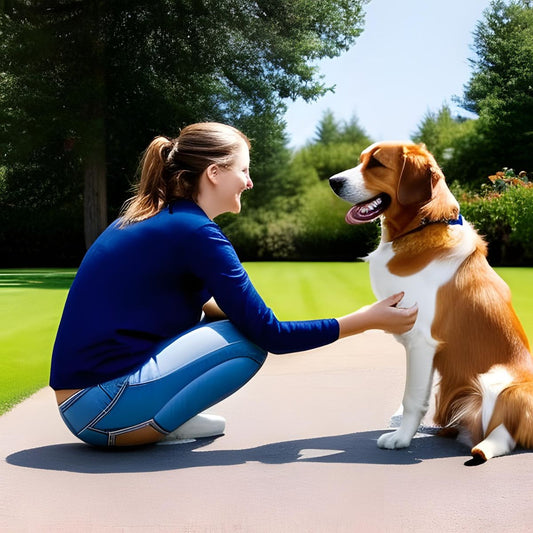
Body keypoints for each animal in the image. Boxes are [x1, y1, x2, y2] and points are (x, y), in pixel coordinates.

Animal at [328, 140, 532, 462]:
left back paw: (483, 447)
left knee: (506, 431)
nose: (333, 181)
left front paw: (400, 439)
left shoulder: (422, 339)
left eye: (376, 163)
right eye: (361, 160)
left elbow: (412, 397)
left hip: (498, 381)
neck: (422, 224)